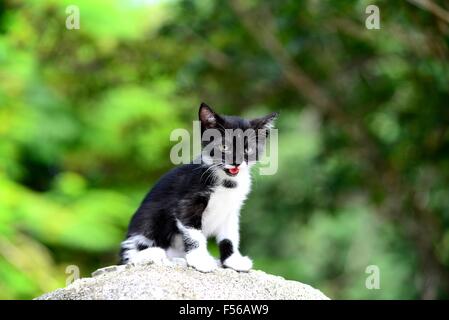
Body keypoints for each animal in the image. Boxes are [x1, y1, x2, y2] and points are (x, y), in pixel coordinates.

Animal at [119, 103, 276, 272]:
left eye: (248, 149)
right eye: (224, 146)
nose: (236, 162)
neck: (226, 181)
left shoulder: (231, 210)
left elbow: (230, 235)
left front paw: (232, 260)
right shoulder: (187, 201)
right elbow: (194, 233)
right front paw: (200, 260)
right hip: (149, 218)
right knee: (130, 253)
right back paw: (150, 253)